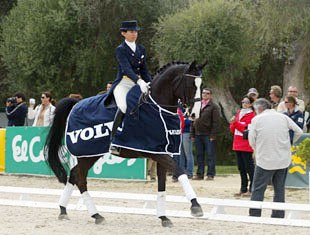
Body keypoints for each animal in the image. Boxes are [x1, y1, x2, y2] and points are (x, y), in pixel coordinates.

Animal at [44, 60, 207, 228]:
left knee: (74, 175)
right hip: (86, 153)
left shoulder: (163, 152)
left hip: (91, 154)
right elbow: (180, 172)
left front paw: (164, 217)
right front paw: (195, 207)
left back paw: (65, 210)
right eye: (190, 84)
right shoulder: (156, 153)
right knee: (79, 177)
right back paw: (95, 214)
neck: (158, 108)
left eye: (201, 85)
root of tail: (76, 103)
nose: (195, 114)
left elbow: (162, 184)